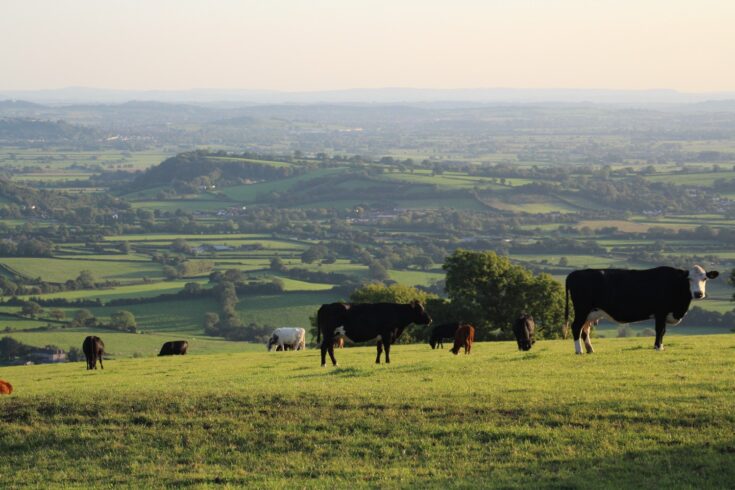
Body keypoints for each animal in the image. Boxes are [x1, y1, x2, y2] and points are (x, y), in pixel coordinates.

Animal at [568, 266, 720, 354]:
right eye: (689, 278)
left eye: (705, 278)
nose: (698, 294)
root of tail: (575, 273)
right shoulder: (660, 312)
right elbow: (660, 330)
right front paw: (658, 347)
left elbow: (662, 331)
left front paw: (660, 346)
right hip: (582, 310)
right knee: (576, 327)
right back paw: (579, 351)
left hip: (591, 313)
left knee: (585, 330)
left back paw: (590, 350)